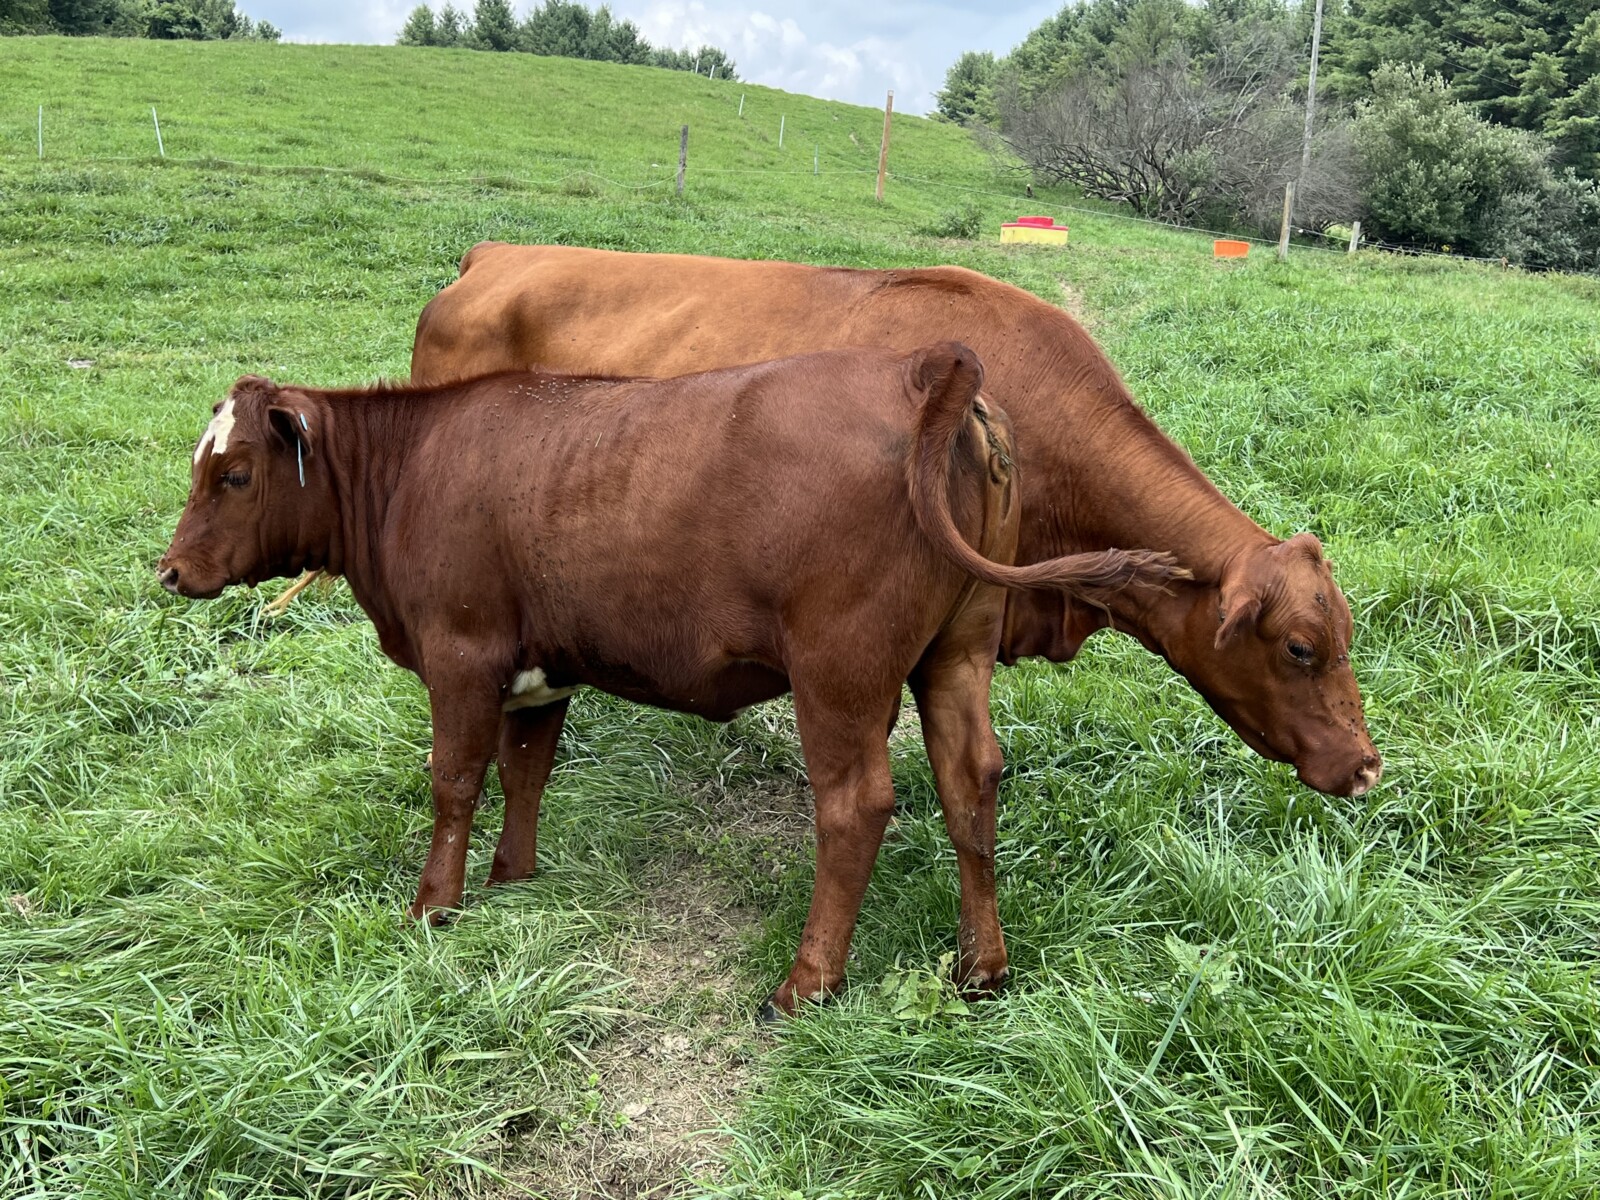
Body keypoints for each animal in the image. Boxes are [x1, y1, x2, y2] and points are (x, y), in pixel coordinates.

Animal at [158, 344, 1183, 1016]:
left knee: (855, 807)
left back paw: (807, 984)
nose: (170, 572)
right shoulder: (544, 671)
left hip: (838, 671)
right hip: (957, 653)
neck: (414, 468)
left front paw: (433, 907)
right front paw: (514, 877)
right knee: (971, 782)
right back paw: (980, 969)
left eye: (236, 474)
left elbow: (455, 781)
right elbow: (525, 771)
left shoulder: (462, 655)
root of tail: (922, 371)